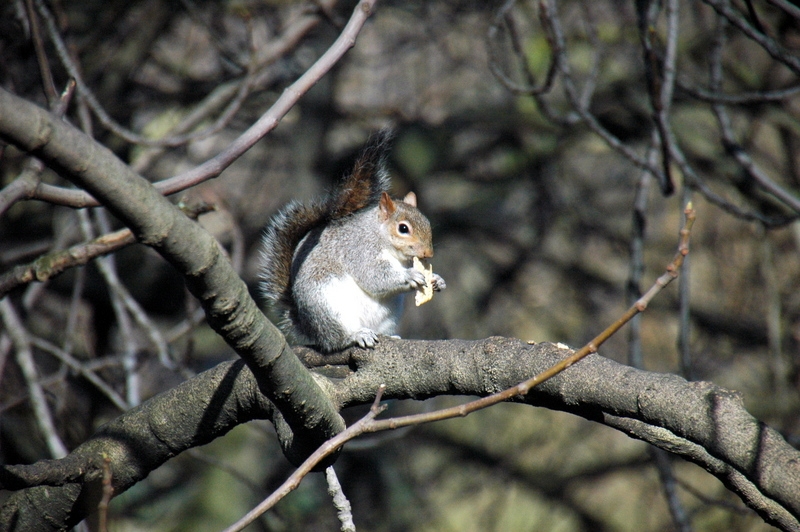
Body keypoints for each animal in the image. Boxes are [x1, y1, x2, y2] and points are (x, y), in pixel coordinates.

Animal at [258, 129, 444, 354]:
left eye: (427, 222)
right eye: (403, 228)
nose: (428, 254)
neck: (378, 235)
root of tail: (307, 326)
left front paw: (436, 279)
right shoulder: (359, 249)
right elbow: (374, 276)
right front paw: (410, 275)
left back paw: (389, 336)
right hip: (328, 307)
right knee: (336, 339)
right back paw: (356, 335)